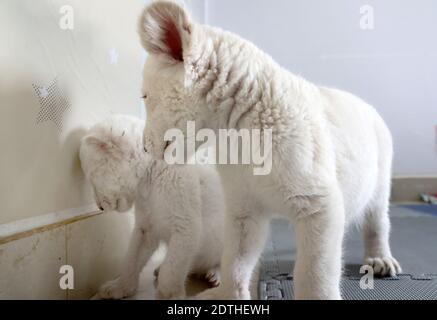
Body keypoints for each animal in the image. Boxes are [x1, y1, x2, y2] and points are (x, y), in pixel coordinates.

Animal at [78, 115, 223, 300]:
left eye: (91, 177)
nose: (100, 207)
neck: (151, 176)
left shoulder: (185, 225)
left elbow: (172, 268)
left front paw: (168, 295)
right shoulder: (146, 225)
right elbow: (132, 259)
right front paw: (120, 288)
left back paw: (216, 275)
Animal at [137, 0, 402, 300]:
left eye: (144, 96)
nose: (143, 146)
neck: (238, 130)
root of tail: (365, 103)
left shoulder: (320, 204)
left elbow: (315, 273)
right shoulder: (245, 207)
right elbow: (235, 260)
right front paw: (228, 295)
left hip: (379, 183)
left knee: (377, 221)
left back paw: (380, 259)